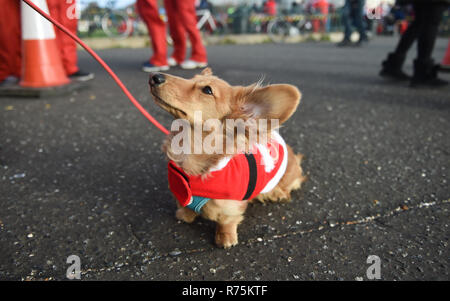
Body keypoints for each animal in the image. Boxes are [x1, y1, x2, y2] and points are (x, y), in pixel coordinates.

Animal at [149, 68, 304, 248]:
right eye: (191, 78)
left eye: (207, 90)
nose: (154, 76)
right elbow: (186, 207)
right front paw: (184, 215)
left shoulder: (231, 208)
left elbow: (226, 222)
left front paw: (225, 238)